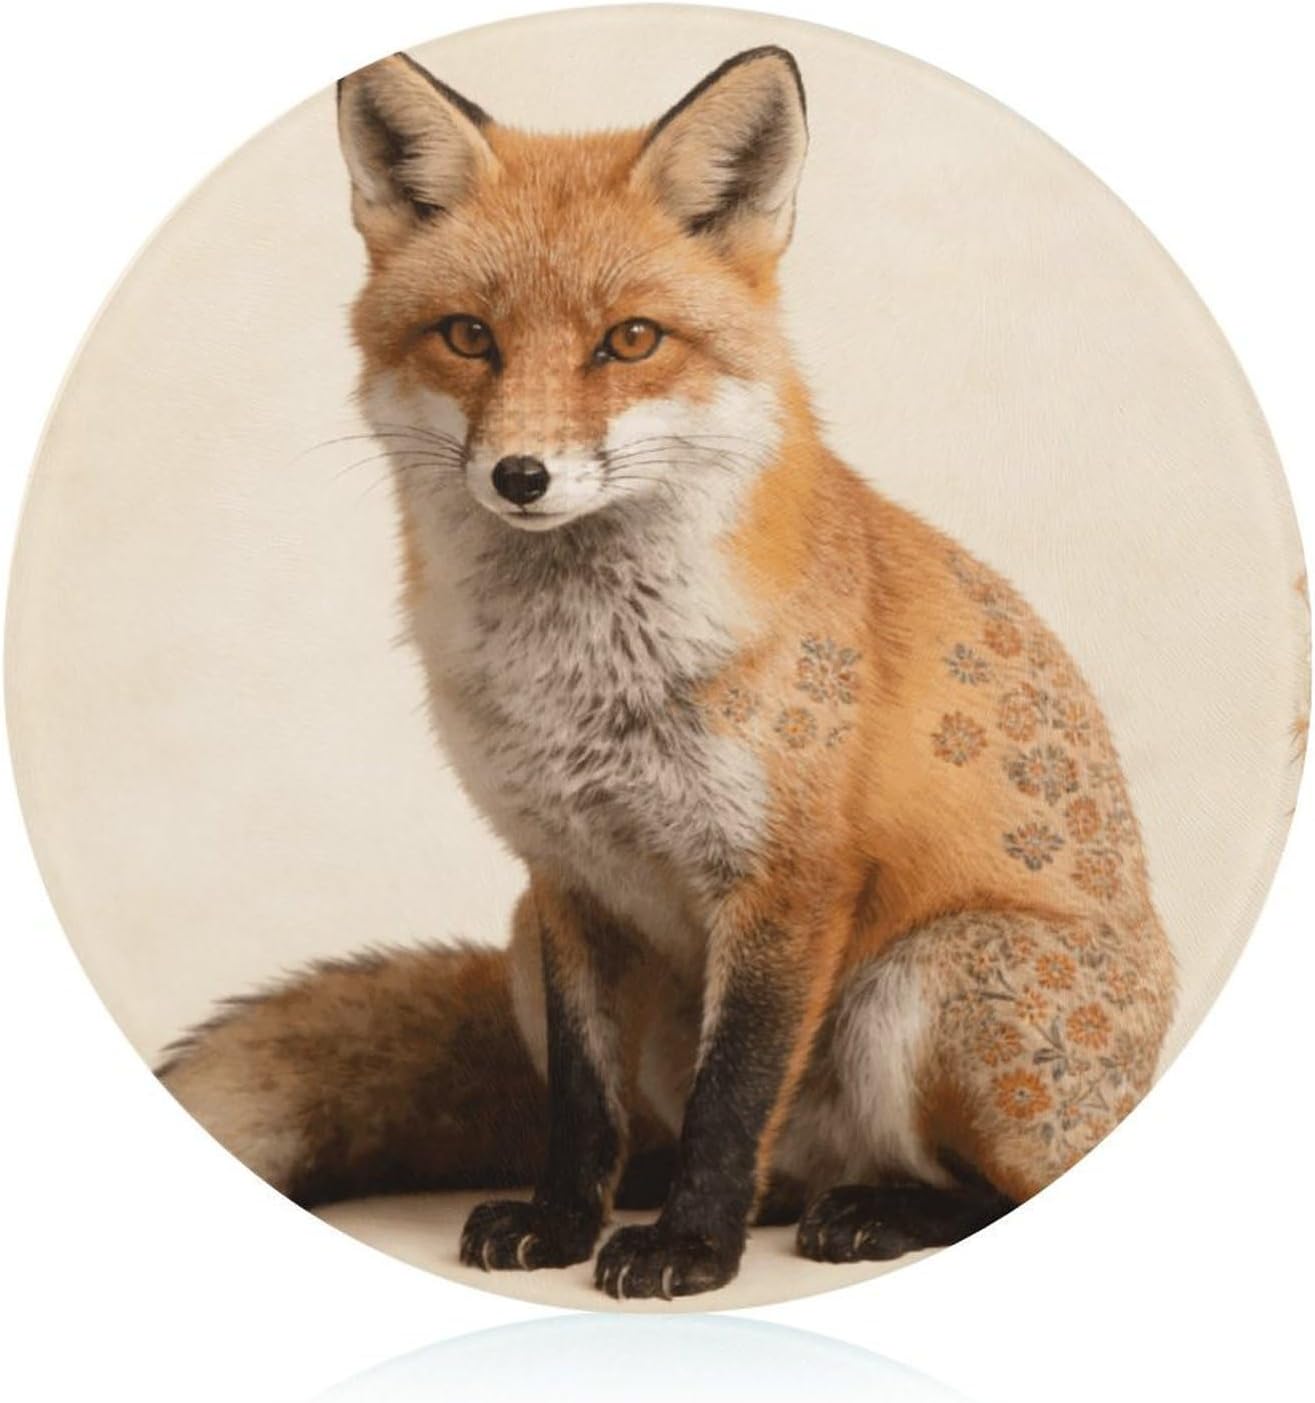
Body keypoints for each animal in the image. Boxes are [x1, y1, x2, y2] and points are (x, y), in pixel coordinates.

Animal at [158, 46, 1176, 1300]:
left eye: (630, 340)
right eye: (468, 335)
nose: (521, 473)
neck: (583, 679)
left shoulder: (790, 874)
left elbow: (729, 1095)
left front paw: (690, 1247)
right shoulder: (561, 873)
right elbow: (583, 1103)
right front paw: (563, 1220)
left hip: (939, 975)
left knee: (998, 1188)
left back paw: (873, 1210)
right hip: (522, 940)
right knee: (723, 1153)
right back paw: (670, 1195)